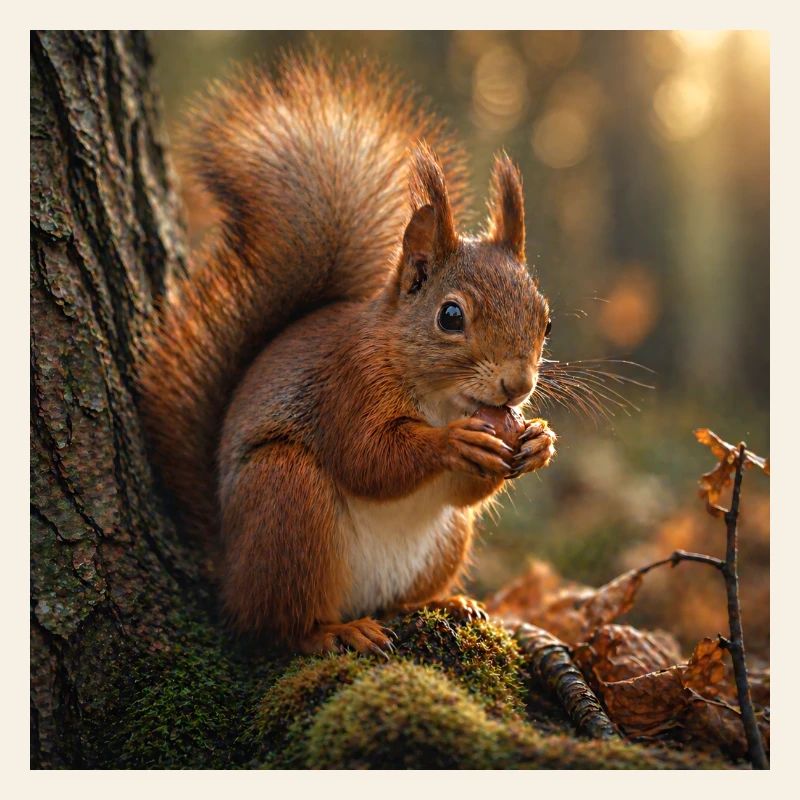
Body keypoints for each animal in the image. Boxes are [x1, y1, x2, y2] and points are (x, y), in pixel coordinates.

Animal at [137, 52, 556, 655]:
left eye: (546, 319)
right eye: (451, 317)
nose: (518, 386)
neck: (442, 398)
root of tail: (229, 567)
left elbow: (464, 493)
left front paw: (540, 441)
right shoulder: (348, 382)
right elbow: (368, 459)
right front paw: (453, 443)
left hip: (443, 543)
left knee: (400, 592)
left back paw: (445, 603)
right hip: (287, 497)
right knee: (275, 624)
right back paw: (336, 632)